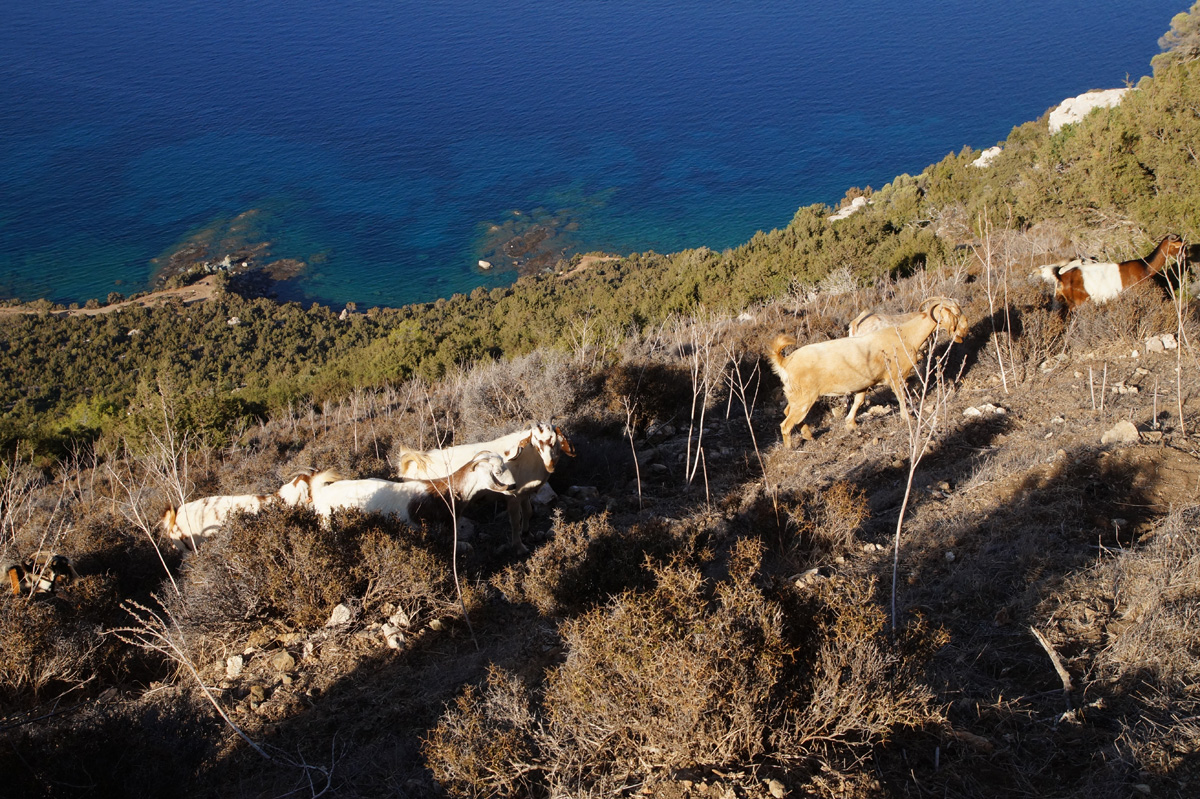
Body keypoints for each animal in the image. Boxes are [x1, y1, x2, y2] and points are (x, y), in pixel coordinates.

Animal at [393, 419, 576, 551]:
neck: (527, 458)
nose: (550, 464)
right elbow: (515, 520)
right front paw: (519, 547)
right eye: (536, 441)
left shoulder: (524, 494)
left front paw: (527, 533)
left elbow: (528, 512)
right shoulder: (513, 497)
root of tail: (412, 463)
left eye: (553, 440)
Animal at [768, 298, 964, 448]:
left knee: (787, 411)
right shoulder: (896, 376)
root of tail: (785, 361)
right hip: (805, 398)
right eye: (955, 313)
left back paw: (808, 434)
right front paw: (907, 417)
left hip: (796, 396)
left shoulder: (864, 384)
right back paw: (790, 447)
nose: (963, 331)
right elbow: (901, 396)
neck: (906, 335)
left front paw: (851, 424)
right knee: (786, 424)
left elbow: (859, 401)